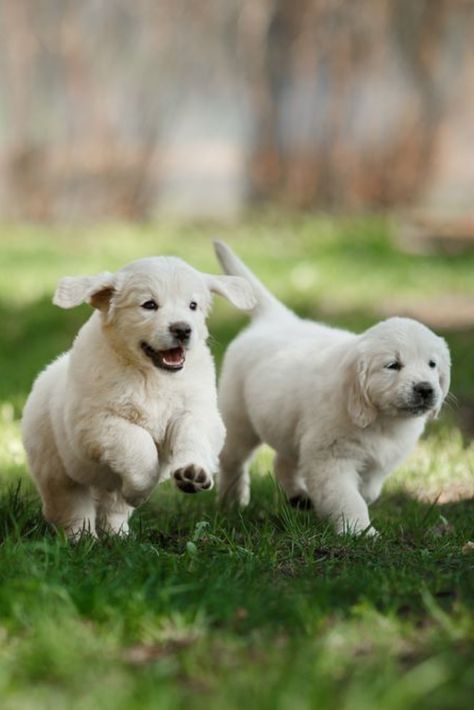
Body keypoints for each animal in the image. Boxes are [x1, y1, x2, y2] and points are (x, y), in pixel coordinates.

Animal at [22, 256, 256, 540]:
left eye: (193, 305)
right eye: (149, 305)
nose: (182, 330)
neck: (151, 375)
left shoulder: (196, 411)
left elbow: (193, 435)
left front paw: (193, 473)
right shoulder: (95, 423)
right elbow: (138, 444)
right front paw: (140, 491)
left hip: (104, 487)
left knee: (113, 508)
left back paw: (119, 536)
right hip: (57, 469)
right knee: (71, 508)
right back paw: (83, 540)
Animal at [215, 242, 452, 536]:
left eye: (432, 364)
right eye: (393, 365)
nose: (425, 389)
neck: (381, 420)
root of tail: (275, 320)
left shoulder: (378, 461)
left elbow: (368, 489)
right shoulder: (331, 458)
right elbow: (347, 497)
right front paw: (359, 532)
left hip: (287, 424)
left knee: (282, 461)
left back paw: (298, 497)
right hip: (238, 420)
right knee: (232, 461)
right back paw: (232, 501)